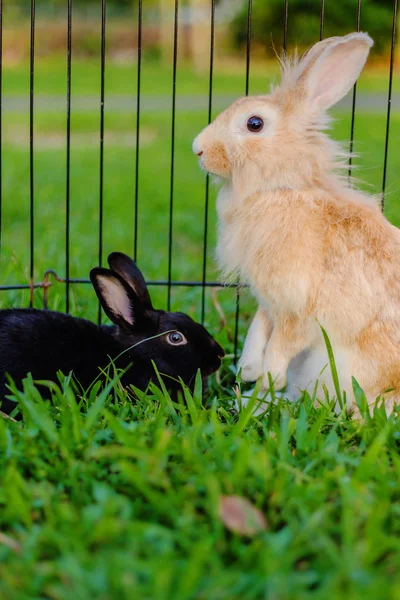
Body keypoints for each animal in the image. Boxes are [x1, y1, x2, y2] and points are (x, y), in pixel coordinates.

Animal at [193, 32, 400, 414]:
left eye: (254, 123)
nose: (198, 149)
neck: (279, 189)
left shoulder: (296, 309)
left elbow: (277, 356)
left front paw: (259, 390)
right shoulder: (268, 302)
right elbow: (258, 331)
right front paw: (246, 370)